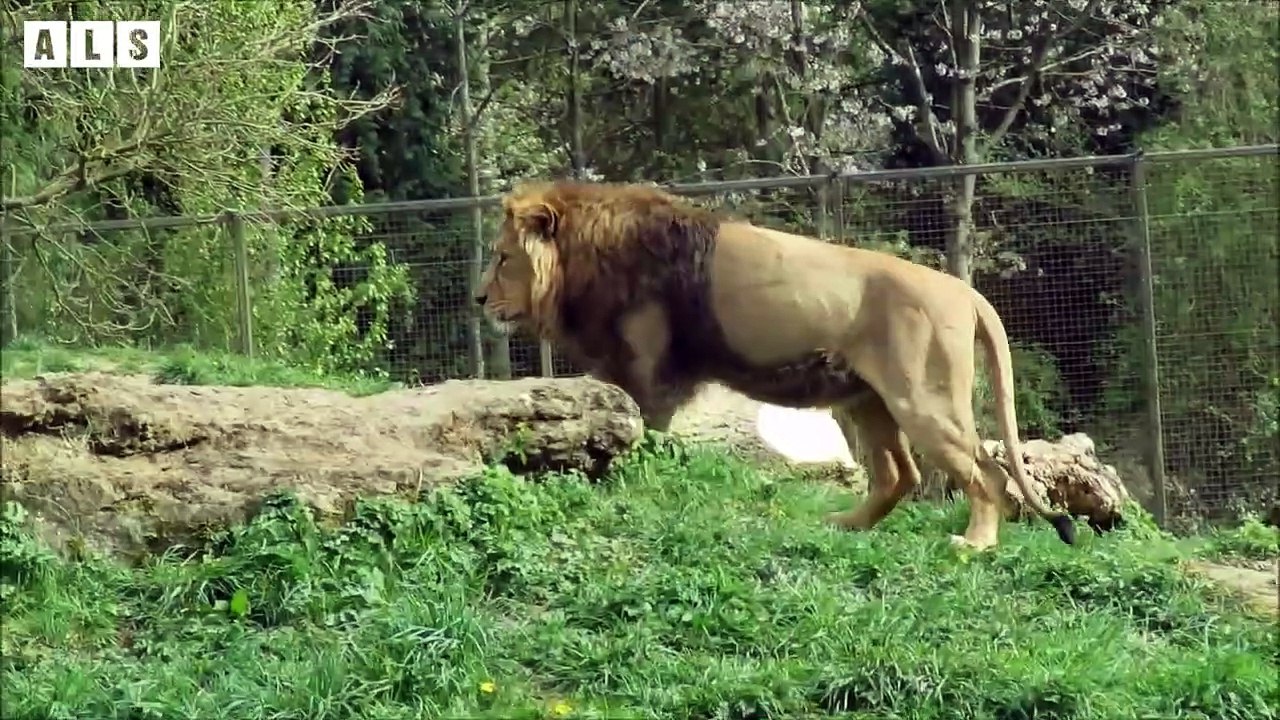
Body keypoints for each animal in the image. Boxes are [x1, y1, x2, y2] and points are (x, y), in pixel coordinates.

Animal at [474, 179, 1077, 550]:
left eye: (502, 258)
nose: (478, 298)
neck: (581, 258)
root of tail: (966, 293)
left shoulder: (649, 366)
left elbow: (641, 433)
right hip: (867, 399)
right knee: (898, 476)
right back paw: (842, 526)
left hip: (922, 399)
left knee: (987, 473)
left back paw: (974, 544)